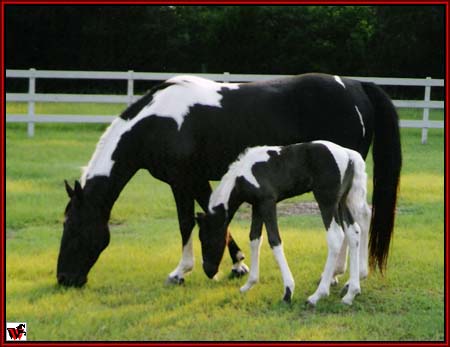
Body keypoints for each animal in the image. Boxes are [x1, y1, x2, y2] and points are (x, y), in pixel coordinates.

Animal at [56, 72, 400, 288]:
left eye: (73, 229)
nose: (64, 279)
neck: (158, 122)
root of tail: (355, 86)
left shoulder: (184, 181)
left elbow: (187, 222)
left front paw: (181, 271)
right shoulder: (199, 181)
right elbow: (212, 218)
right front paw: (237, 264)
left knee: (356, 217)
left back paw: (344, 275)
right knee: (358, 216)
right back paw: (346, 272)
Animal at [196, 140, 370, 306]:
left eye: (207, 239)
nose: (209, 271)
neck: (243, 176)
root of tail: (349, 155)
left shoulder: (268, 202)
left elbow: (274, 240)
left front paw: (288, 291)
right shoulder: (257, 206)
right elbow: (254, 239)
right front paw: (248, 284)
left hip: (327, 201)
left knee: (336, 237)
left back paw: (317, 296)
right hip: (342, 201)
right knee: (354, 232)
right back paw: (351, 293)